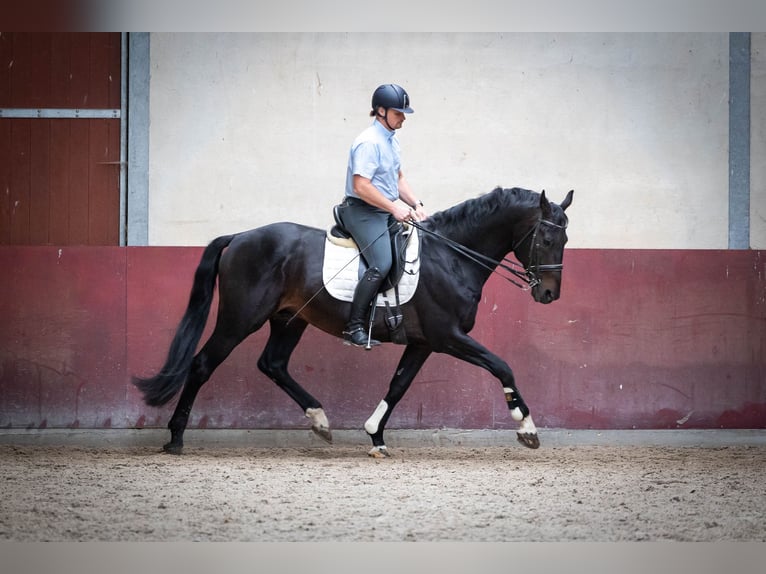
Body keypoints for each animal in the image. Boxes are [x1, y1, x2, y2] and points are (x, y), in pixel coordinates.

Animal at [135, 188, 572, 460]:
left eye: (566, 241)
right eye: (547, 240)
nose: (550, 294)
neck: (451, 257)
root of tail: (241, 236)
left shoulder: (424, 342)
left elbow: (398, 386)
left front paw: (375, 436)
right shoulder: (449, 336)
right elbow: (502, 366)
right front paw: (526, 428)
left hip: (289, 319)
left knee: (272, 364)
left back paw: (320, 420)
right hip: (240, 318)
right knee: (202, 365)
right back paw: (176, 437)